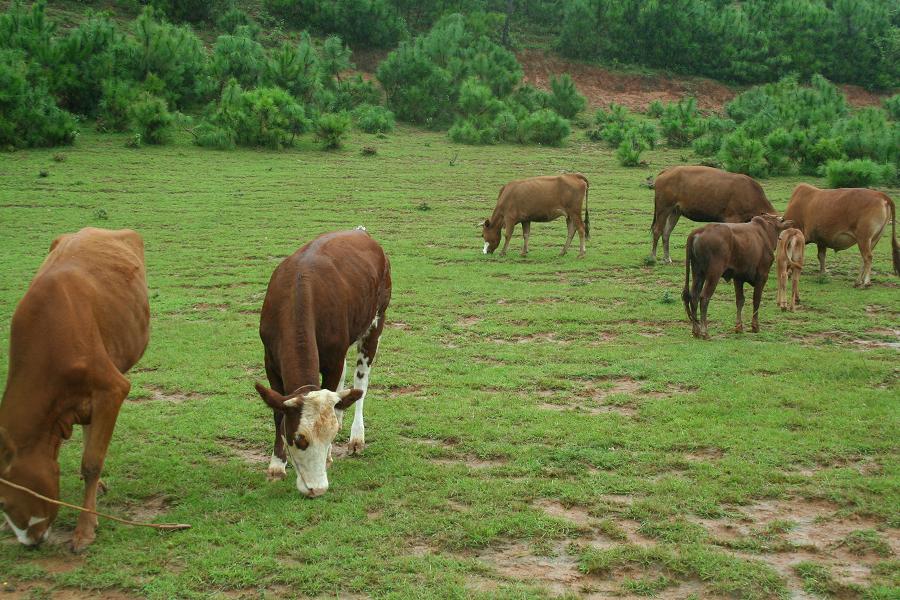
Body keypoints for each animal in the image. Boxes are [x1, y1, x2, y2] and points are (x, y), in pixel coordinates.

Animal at [255, 227, 392, 500]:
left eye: (330, 436)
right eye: (299, 438)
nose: (318, 489)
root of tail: (361, 232)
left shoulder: (333, 359)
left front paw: (329, 454)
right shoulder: (270, 361)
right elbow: (277, 412)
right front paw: (276, 466)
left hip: (375, 323)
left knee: (361, 382)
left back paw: (356, 437)